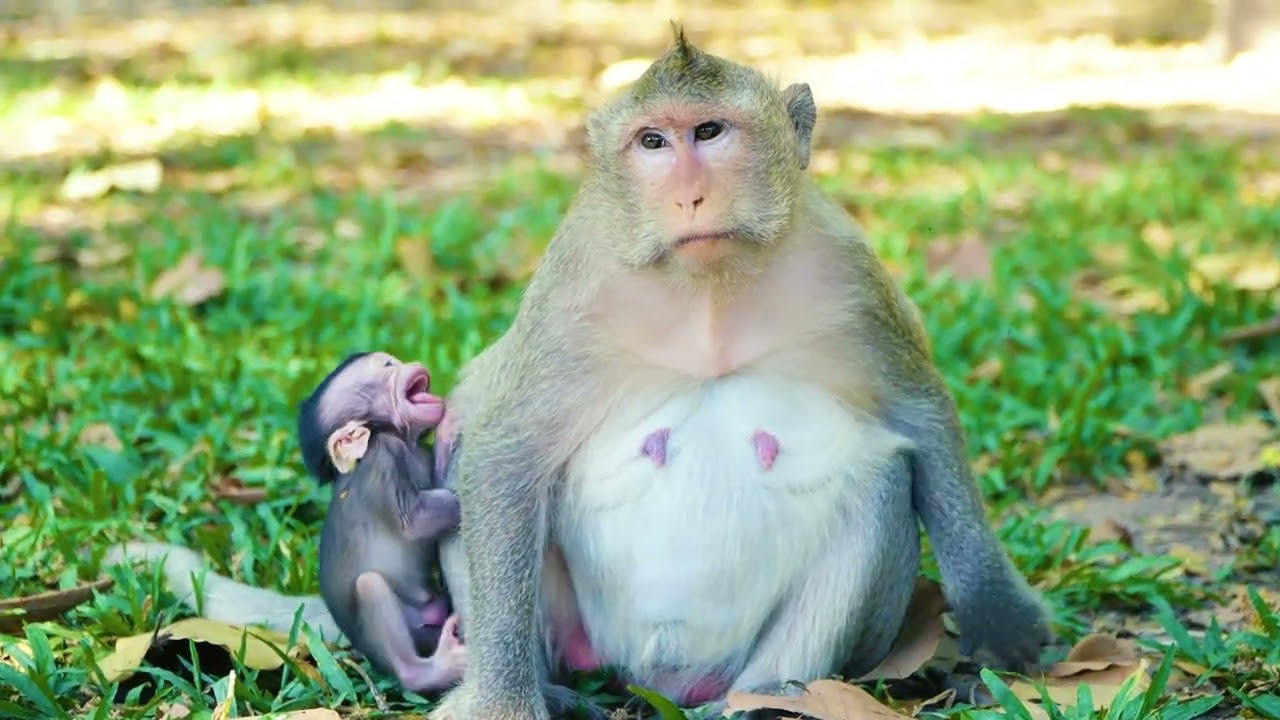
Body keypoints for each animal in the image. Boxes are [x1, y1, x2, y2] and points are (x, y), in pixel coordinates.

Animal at [425, 26, 1054, 720]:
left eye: (708, 132)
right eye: (652, 141)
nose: (688, 195)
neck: (710, 291)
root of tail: (666, 682)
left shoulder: (852, 276)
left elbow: (920, 413)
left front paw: (998, 612)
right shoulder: (570, 295)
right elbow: (504, 452)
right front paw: (503, 700)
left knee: (884, 483)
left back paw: (763, 697)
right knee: (459, 465)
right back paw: (558, 691)